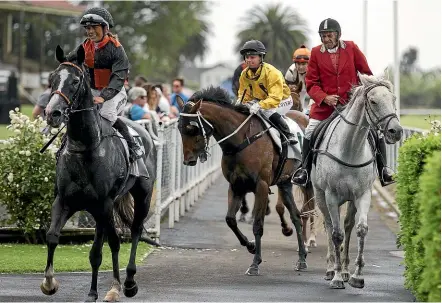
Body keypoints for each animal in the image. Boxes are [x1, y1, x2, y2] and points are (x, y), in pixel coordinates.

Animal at [40, 44, 157, 302]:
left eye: (75, 81)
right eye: (52, 79)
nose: (52, 113)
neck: (85, 149)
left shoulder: (102, 204)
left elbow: (99, 250)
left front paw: (100, 291)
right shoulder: (64, 200)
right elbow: (52, 236)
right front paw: (49, 283)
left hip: (142, 194)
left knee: (134, 231)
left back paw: (128, 283)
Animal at [174, 86, 312, 276]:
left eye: (192, 128)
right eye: (179, 128)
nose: (189, 161)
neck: (240, 141)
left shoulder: (261, 186)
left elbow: (258, 225)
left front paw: (255, 264)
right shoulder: (236, 186)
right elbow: (230, 219)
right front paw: (251, 246)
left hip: (307, 179)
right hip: (285, 183)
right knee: (296, 216)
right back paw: (302, 259)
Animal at [310, 73, 404, 290]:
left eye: (393, 99)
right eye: (373, 101)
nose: (396, 131)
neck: (350, 148)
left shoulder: (363, 194)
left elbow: (360, 230)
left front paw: (356, 275)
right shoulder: (331, 195)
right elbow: (335, 234)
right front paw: (336, 276)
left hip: (351, 200)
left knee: (347, 225)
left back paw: (345, 270)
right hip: (320, 196)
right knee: (330, 225)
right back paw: (331, 269)